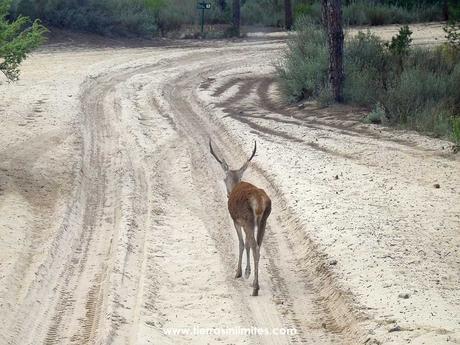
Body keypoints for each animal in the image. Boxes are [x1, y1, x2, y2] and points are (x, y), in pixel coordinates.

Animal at [208, 138, 270, 294]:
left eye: (224, 179)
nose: (227, 193)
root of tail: (260, 201)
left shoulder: (237, 220)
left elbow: (242, 244)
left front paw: (239, 272)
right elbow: (247, 244)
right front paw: (247, 272)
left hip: (248, 220)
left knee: (254, 247)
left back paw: (255, 288)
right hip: (262, 221)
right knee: (258, 246)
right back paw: (255, 283)